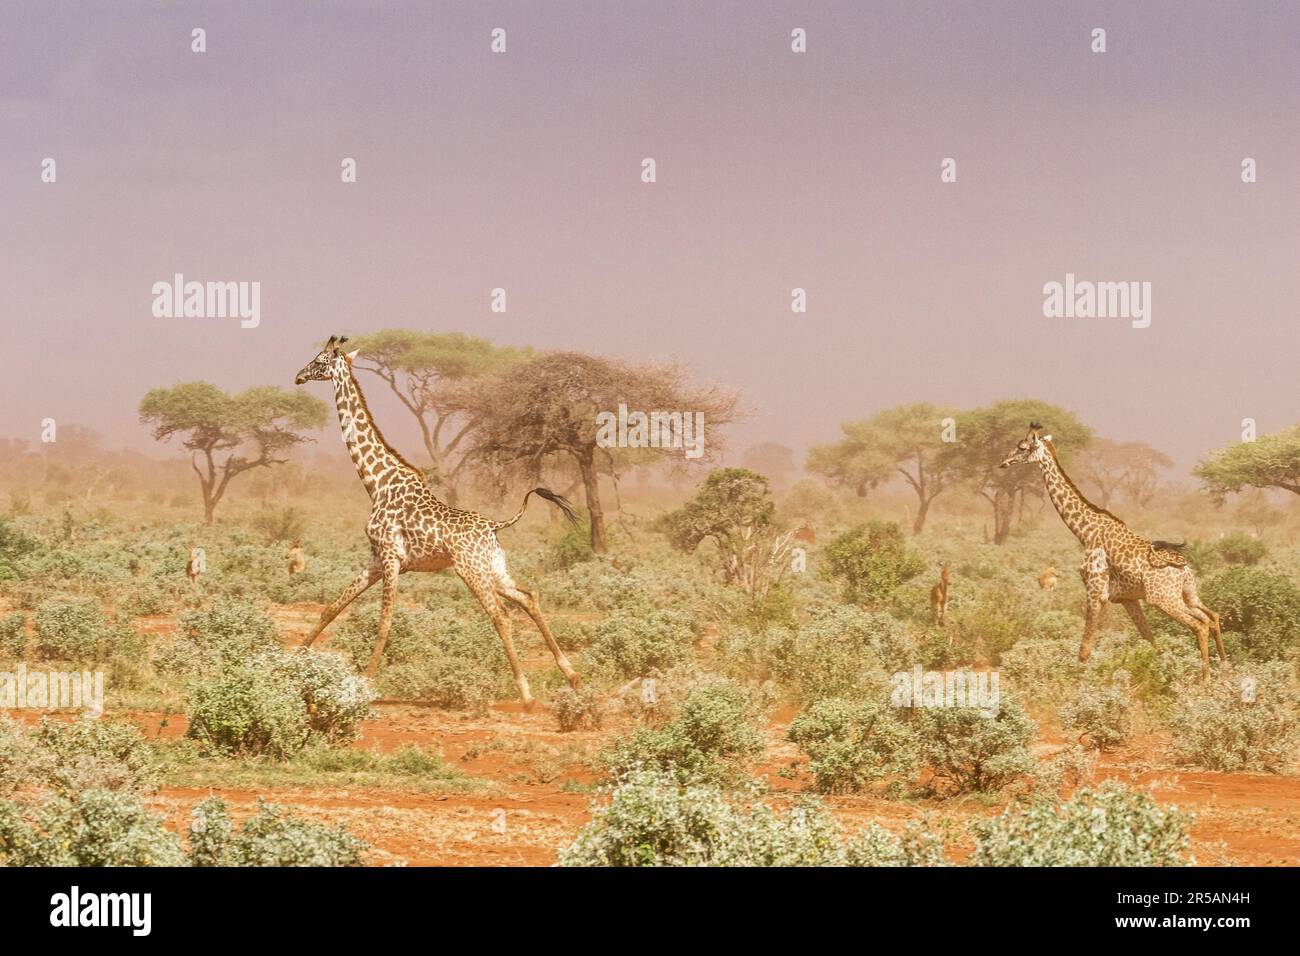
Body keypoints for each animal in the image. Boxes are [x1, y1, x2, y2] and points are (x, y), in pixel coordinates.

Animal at [294, 335, 580, 709]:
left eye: (318, 360)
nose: (298, 376)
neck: (376, 482)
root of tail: (494, 526)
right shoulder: (376, 560)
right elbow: (331, 608)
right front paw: (292, 660)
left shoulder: (391, 558)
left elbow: (384, 621)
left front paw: (365, 685)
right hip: (493, 568)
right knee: (529, 597)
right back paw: (572, 676)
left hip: (470, 570)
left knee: (501, 615)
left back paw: (527, 693)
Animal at [1000, 424, 1225, 679]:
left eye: (1022, 447)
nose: (1003, 462)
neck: (1085, 531)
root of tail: (1184, 568)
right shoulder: (1127, 598)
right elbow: (1149, 639)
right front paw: (1156, 672)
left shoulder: (1095, 590)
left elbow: (1085, 649)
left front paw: (1074, 680)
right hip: (1188, 594)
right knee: (1213, 617)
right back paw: (1225, 668)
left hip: (1163, 599)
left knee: (1200, 625)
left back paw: (1205, 679)